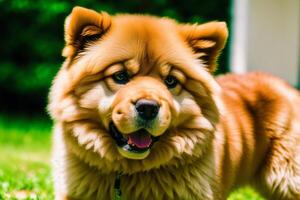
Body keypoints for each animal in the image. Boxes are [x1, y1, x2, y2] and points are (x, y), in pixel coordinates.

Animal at [48, 6, 300, 200]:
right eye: (120, 76)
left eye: (170, 81)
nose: (148, 107)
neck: (129, 171)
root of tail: (286, 86)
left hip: (286, 179)